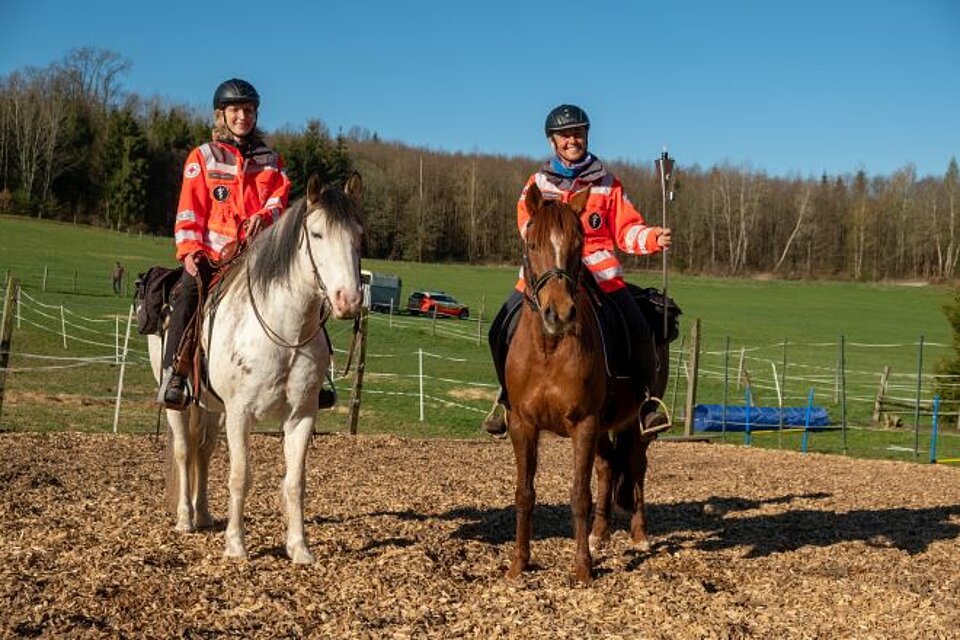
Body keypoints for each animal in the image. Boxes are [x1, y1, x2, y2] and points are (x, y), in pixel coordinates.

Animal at [148, 172, 362, 564]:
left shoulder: (301, 415)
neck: (284, 330)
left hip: (210, 405)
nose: (349, 300)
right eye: (317, 234)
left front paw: (299, 547)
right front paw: (236, 545)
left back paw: (204, 514)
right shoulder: (240, 413)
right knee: (185, 450)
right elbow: (240, 475)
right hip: (179, 402)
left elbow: (295, 482)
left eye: (359, 234)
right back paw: (186, 518)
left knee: (203, 450)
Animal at [502, 182, 668, 584]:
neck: (549, 348)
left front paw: (582, 568)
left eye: (579, 244)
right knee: (608, 468)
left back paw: (639, 535)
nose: (559, 313)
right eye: (533, 243)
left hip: (635, 424)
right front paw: (519, 563)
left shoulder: (584, 424)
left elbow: (579, 495)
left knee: (636, 467)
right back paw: (599, 533)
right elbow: (524, 492)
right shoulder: (523, 424)